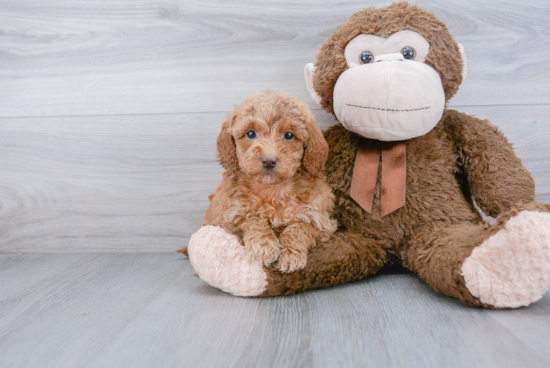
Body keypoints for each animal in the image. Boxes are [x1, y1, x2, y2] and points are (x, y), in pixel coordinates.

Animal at [205, 89, 338, 274]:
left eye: (289, 135)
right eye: (251, 133)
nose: (269, 160)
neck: (272, 189)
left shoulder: (321, 222)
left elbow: (300, 227)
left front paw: (291, 255)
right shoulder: (226, 219)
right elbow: (252, 219)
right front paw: (263, 247)